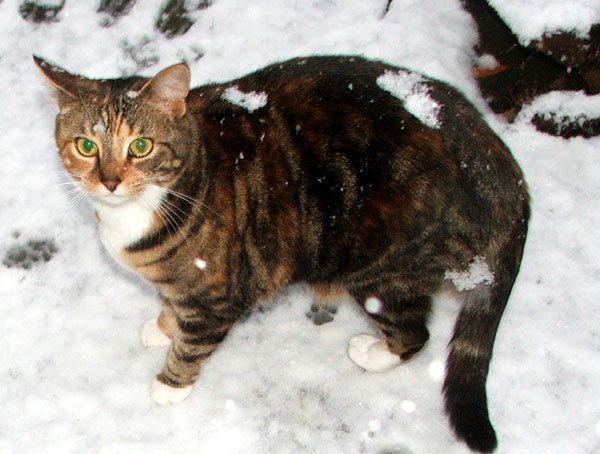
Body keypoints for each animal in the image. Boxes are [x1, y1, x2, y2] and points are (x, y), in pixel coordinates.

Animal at [35, 55, 528, 452]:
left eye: (140, 146)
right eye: (86, 145)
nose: (110, 181)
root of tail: (496, 161)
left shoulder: (219, 294)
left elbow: (193, 344)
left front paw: (169, 385)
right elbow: (172, 306)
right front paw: (162, 327)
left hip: (378, 264)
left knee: (414, 332)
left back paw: (371, 351)